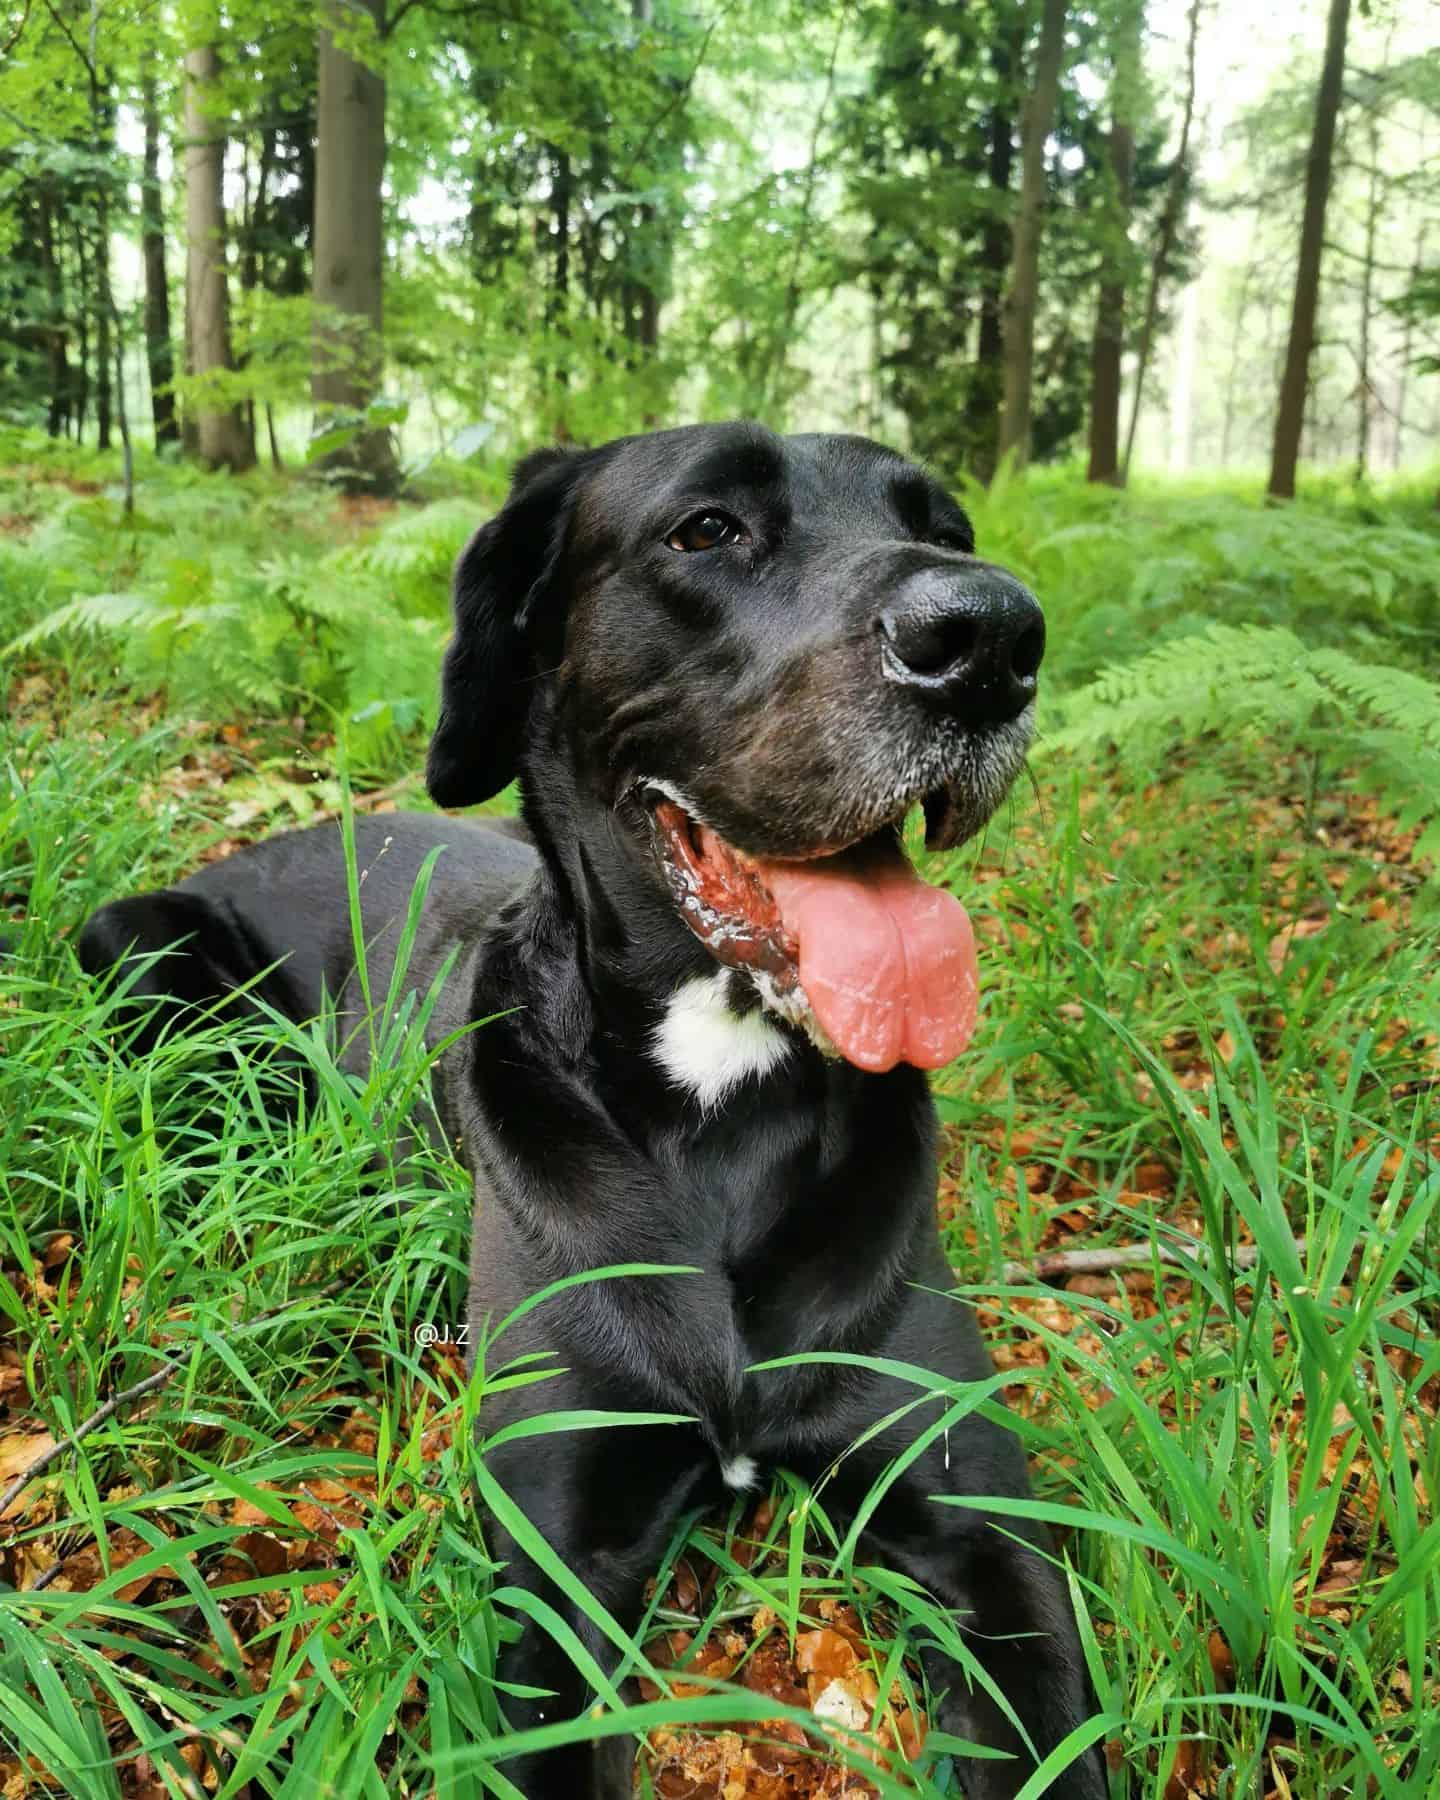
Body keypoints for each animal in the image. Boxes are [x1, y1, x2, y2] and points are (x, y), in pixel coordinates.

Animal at [81, 424, 1101, 1800]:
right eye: (706, 529)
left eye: (943, 530)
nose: (991, 637)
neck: (722, 1087)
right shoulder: (561, 1564)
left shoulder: (984, 1531)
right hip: (138, 942)